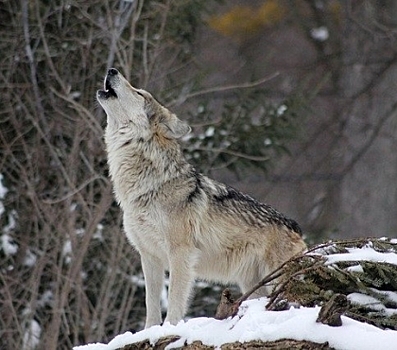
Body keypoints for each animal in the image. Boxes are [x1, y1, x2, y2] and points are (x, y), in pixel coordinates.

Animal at [96, 68, 306, 328]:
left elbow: (175, 300)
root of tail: (296, 227)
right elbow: (151, 304)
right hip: (253, 285)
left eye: (139, 93)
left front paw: (169, 328)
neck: (148, 186)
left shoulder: (181, 253)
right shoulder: (149, 256)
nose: (112, 70)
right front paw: (149, 331)